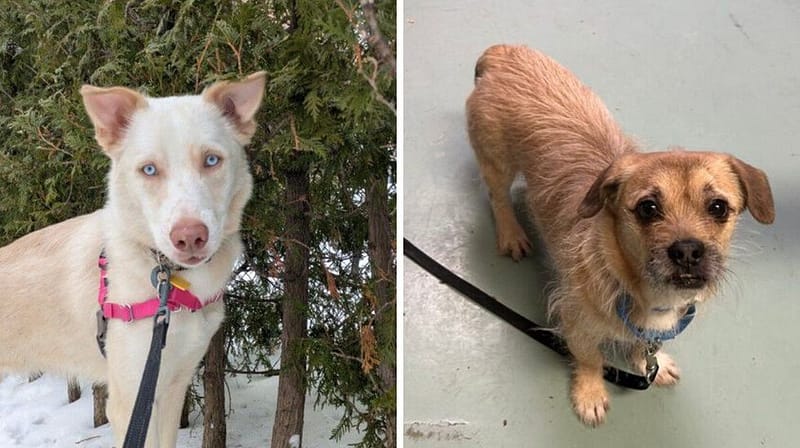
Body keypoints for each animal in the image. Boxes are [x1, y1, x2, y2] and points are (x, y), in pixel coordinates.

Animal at [0, 72, 268, 446]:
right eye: (149, 169)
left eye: (212, 160)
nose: (189, 236)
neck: (169, 279)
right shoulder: (130, 400)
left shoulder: (171, 387)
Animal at [468, 44, 776, 428]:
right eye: (647, 208)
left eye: (718, 207)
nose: (688, 251)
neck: (645, 292)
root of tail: (503, 52)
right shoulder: (576, 320)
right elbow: (590, 358)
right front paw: (590, 394)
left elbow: (644, 346)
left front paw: (650, 364)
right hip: (497, 161)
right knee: (496, 196)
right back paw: (512, 233)